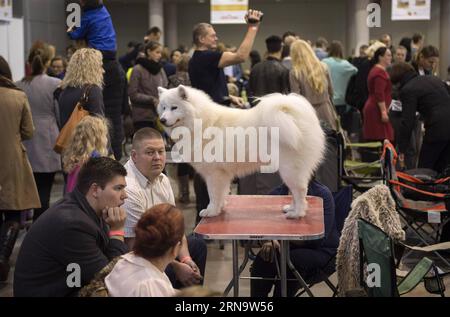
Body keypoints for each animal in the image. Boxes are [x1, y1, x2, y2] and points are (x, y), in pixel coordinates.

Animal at [157, 85, 324, 218]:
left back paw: (297, 213)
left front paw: (211, 211)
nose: (162, 120)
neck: (202, 123)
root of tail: (296, 116)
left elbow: (213, 195)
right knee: (296, 192)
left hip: (290, 169)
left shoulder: (214, 174)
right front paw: (221, 207)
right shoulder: (223, 174)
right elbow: (222, 193)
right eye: (163, 108)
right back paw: (291, 208)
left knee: (300, 191)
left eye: (174, 107)